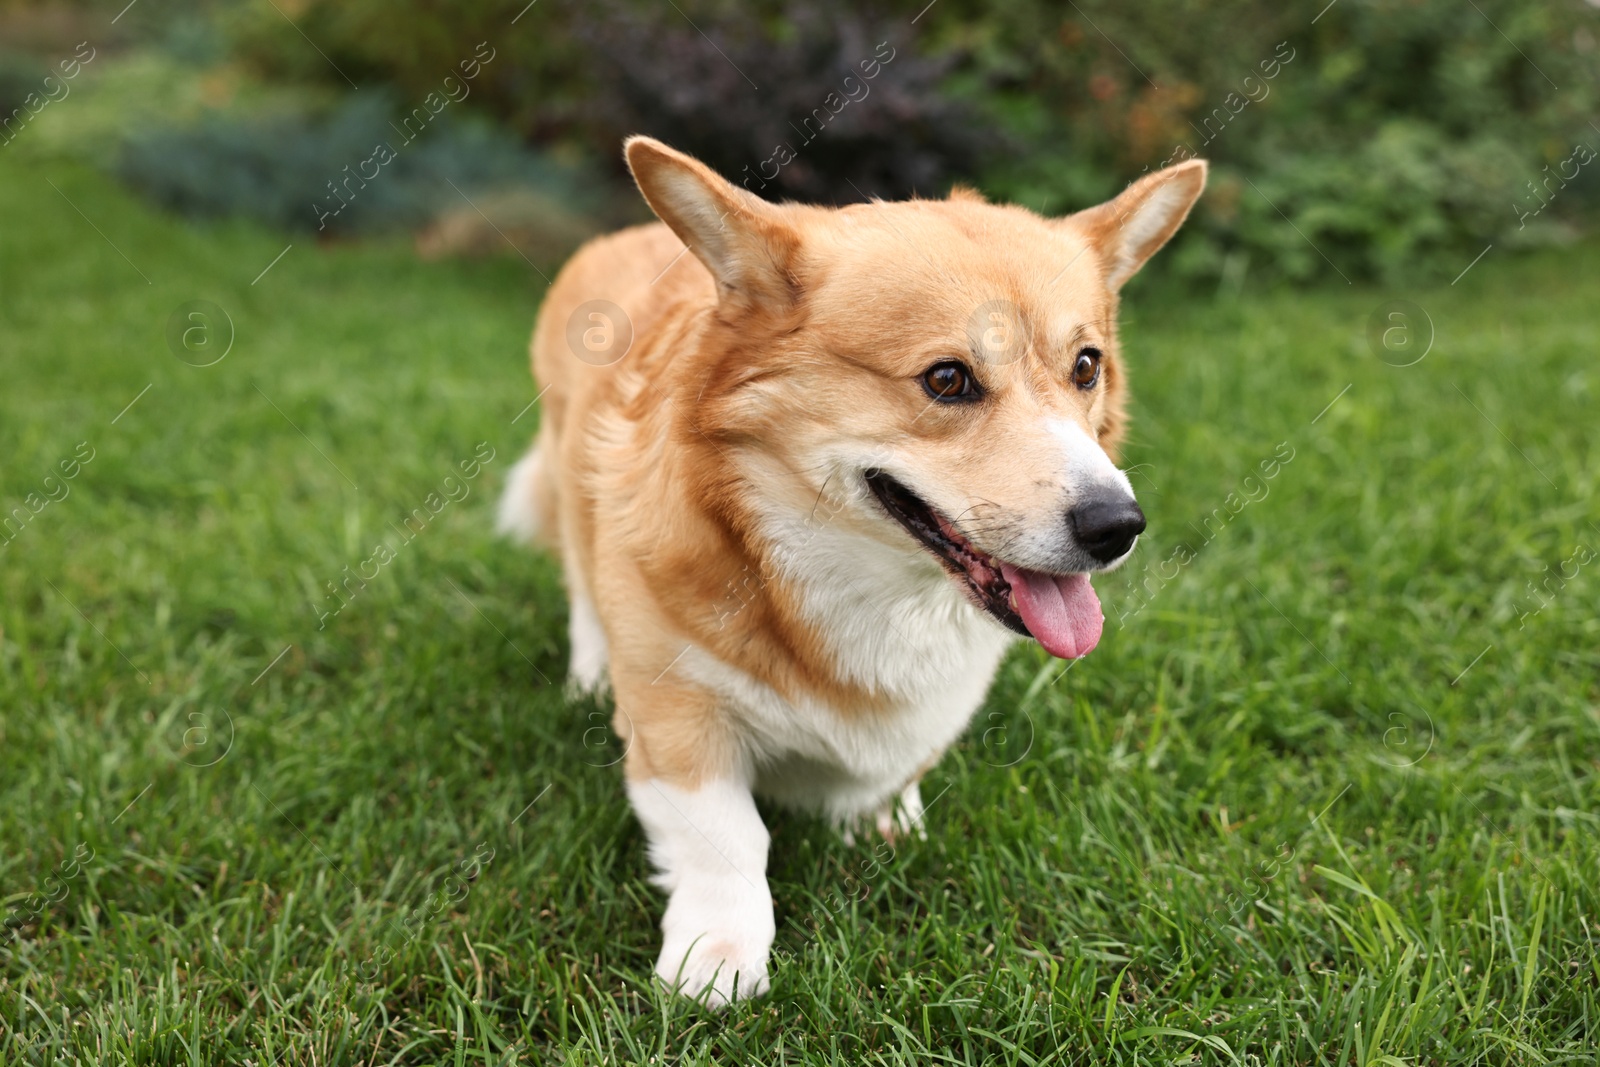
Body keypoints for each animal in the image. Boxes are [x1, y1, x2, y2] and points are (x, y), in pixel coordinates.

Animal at [496, 137, 1203, 1004]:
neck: (870, 585)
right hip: (573, 486)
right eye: (946, 379)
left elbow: (894, 769)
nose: (1118, 526)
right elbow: (728, 834)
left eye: (1086, 366)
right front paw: (717, 957)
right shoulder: (678, 714)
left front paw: (881, 819)